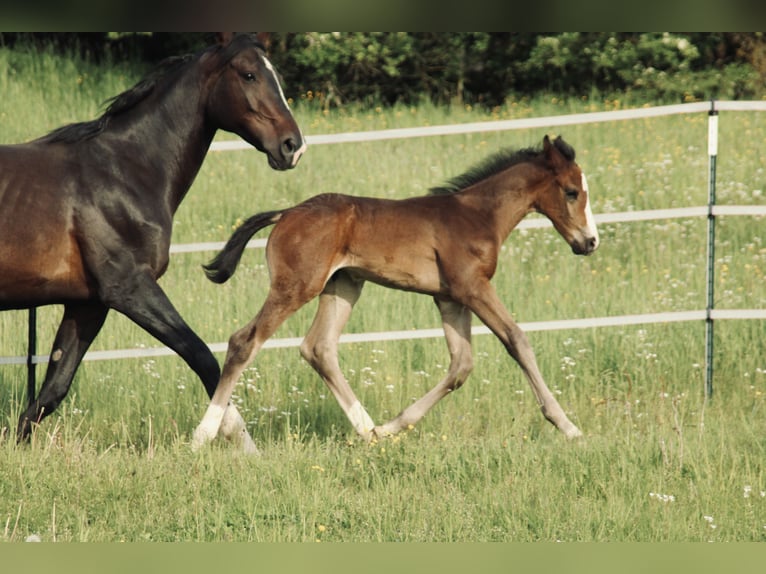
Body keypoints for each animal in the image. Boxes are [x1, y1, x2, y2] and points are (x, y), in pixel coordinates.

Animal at [0, 32, 306, 450]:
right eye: (248, 74)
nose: (293, 146)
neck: (125, 172)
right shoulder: (129, 287)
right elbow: (203, 357)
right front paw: (240, 444)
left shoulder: (88, 303)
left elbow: (52, 389)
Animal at [191, 134, 599, 451]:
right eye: (571, 192)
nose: (590, 242)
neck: (478, 215)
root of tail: (288, 212)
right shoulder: (474, 288)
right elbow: (517, 341)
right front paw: (568, 427)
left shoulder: (450, 298)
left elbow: (461, 365)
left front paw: (392, 427)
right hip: (296, 286)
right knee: (244, 341)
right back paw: (203, 434)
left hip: (343, 285)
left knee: (319, 347)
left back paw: (368, 429)